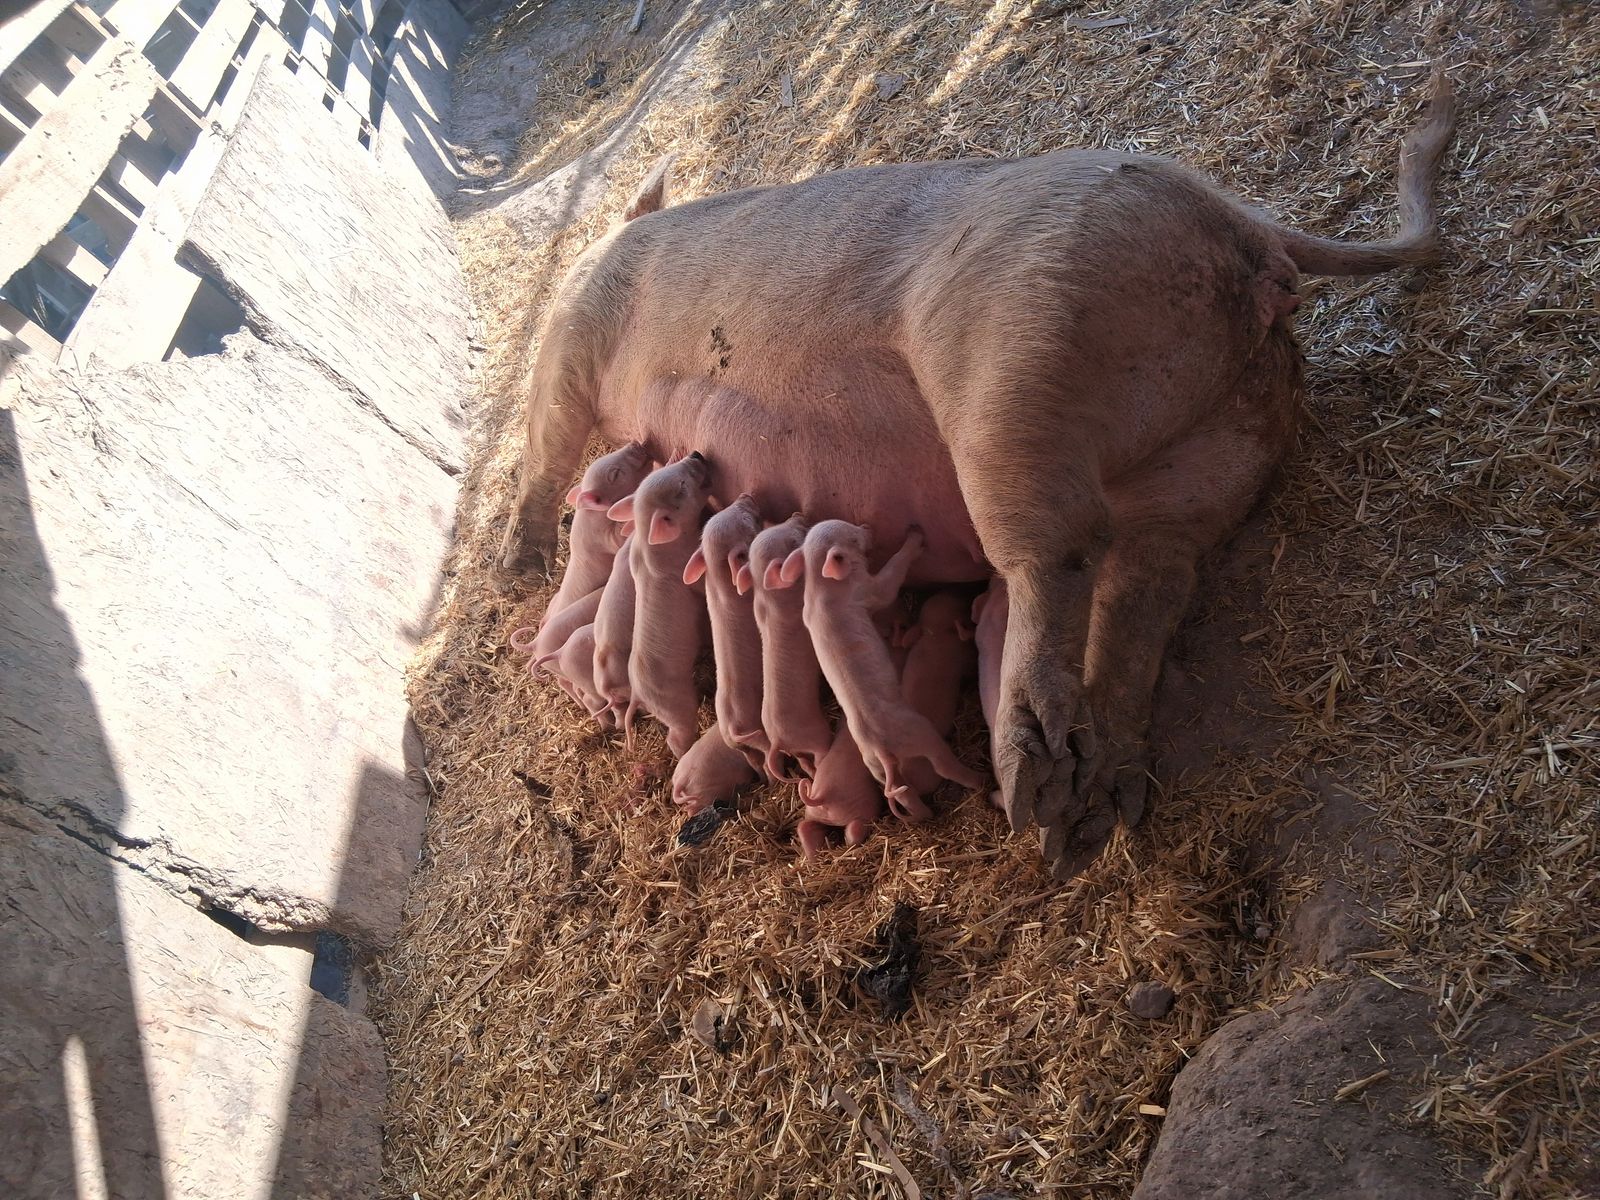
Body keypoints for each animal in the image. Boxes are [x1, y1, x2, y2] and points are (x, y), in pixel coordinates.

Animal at [610, 455, 713, 756]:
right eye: (681, 487)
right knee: (677, 735)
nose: (696, 454)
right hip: (676, 705)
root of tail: (638, 696)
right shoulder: (685, 571)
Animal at [749, 514, 832, 780]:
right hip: (816, 734)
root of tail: (777, 740)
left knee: (804, 762)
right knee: (819, 754)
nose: (798, 515)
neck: (768, 594)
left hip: (796, 750)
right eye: (794, 542)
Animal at [795, 724, 884, 858]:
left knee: (804, 827)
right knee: (853, 833)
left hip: (813, 814)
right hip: (862, 812)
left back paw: (814, 858)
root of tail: (823, 795)